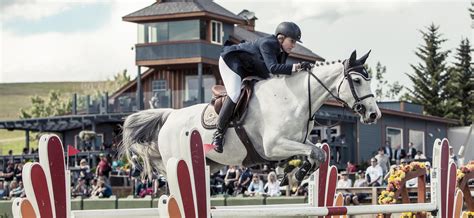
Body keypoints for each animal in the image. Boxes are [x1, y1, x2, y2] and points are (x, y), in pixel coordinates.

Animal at [121, 50, 382, 178]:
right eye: (357, 80)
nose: (374, 114)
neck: (295, 98)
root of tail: (170, 116)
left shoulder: (297, 141)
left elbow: (318, 152)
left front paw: (295, 173)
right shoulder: (273, 146)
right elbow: (315, 152)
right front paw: (295, 174)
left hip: (209, 164)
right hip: (177, 158)